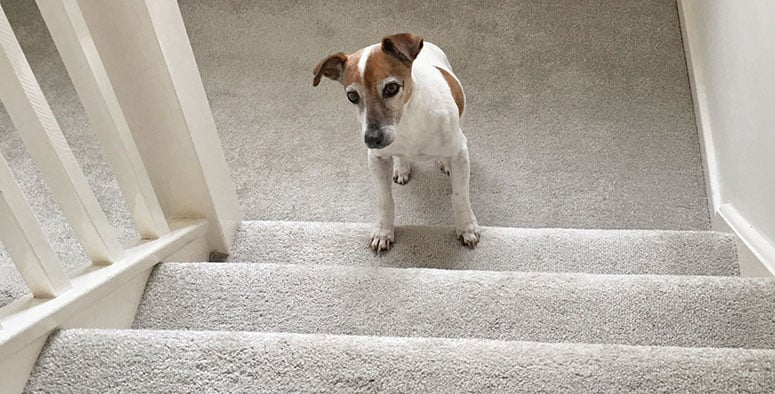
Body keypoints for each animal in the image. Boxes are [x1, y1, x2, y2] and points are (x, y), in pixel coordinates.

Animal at [314, 32, 478, 251]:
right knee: (400, 157)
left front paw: (467, 227)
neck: (407, 122)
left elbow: (460, 196)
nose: (372, 139)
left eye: (391, 88)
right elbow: (385, 200)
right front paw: (383, 231)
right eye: (352, 96)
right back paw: (401, 167)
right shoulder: (377, 159)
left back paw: (443, 162)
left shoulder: (460, 154)